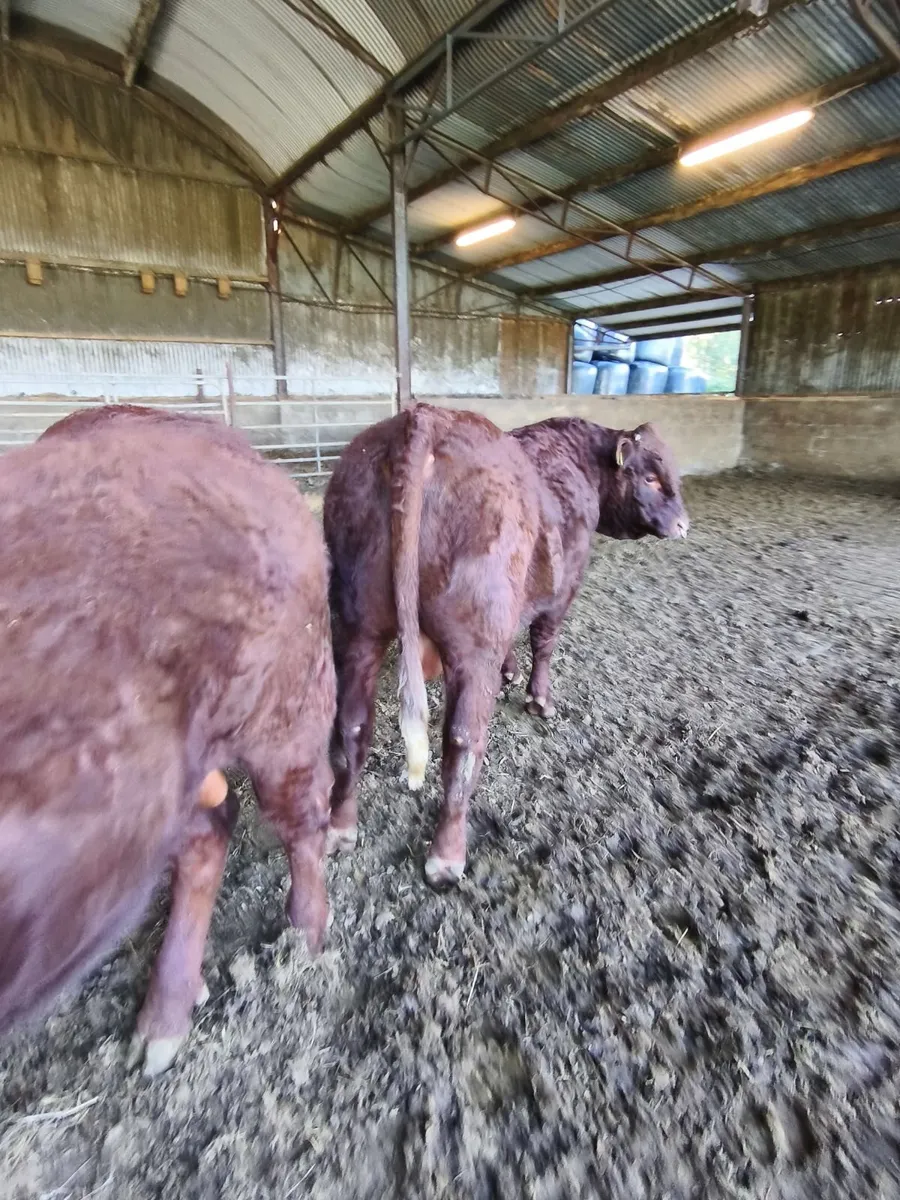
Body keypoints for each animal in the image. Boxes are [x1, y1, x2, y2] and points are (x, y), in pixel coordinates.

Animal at [323, 403, 688, 888]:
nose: (684, 524)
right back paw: (447, 856)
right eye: (650, 477)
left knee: (352, 725)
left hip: (356, 627)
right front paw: (538, 699)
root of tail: (425, 418)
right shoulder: (563, 587)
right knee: (463, 740)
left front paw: (511, 671)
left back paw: (340, 827)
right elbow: (544, 640)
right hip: (472, 644)